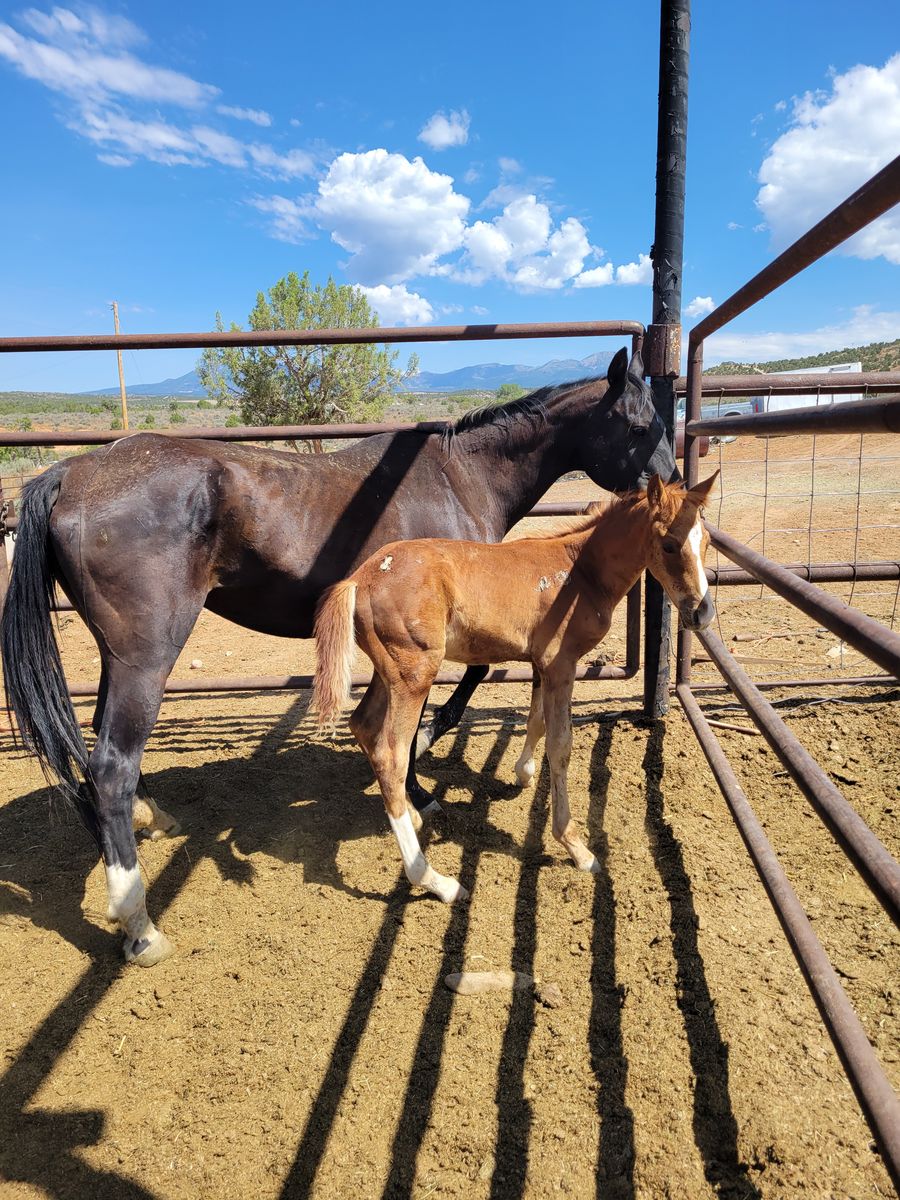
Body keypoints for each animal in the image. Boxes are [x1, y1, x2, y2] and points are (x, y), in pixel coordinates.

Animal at [1, 346, 678, 965]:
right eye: (639, 425)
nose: (668, 489)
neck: (459, 478)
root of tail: (70, 474)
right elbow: (451, 693)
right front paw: (423, 775)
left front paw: (423, 781)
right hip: (146, 656)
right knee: (112, 764)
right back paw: (139, 924)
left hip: (117, 656)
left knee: (101, 750)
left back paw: (148, 820)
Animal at [313, 472, 719, 903]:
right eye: (670, 544)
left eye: (706, 541)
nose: (702, 613)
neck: (579, 572)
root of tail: (360, 577)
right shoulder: (561, 664)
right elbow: (561, 745)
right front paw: (576, 847)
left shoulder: (542, 664)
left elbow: (536, 722)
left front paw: (523, 773)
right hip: (414, 674)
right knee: (391, 753)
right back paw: (436, 880)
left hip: (387, 671)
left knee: (363, 725)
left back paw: (414, 814)